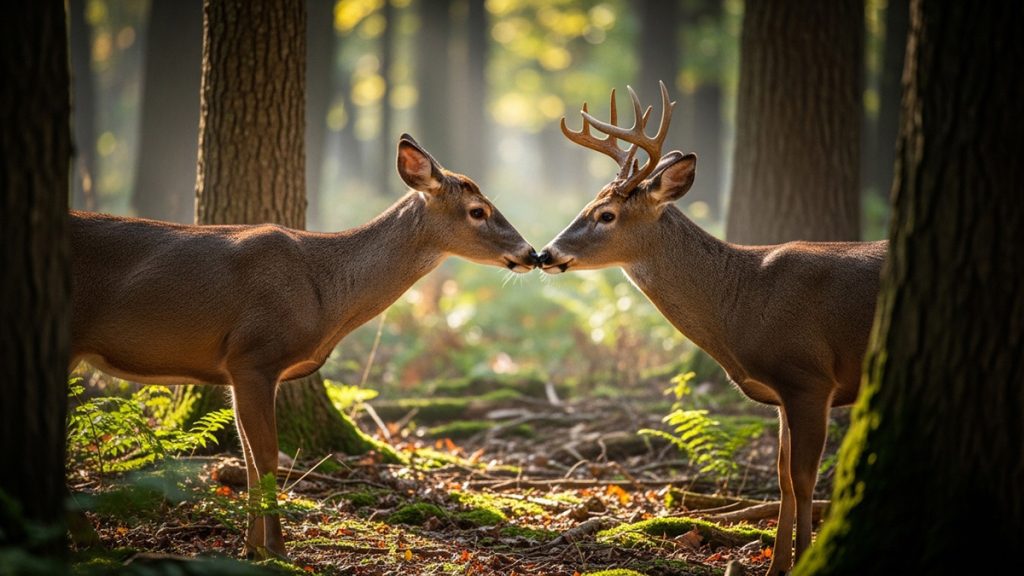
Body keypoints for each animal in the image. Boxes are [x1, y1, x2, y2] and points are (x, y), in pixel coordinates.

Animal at [69, 134, 535, 560]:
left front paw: (251, 547)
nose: (531, 253)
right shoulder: (253, 356)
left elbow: (248, 458)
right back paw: (88, 538)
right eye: (478, 211)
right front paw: (277, 549)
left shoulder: (238, 370)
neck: (325, 294)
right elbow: (267, 456)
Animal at [536, 82, 887, 575]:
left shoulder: (809, 377)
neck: (743, 302)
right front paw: (777, 565)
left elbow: (803, 477)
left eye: (605, 215)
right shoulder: (783, 393)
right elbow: (782, 476)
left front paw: (801, 560)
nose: (546, 254)